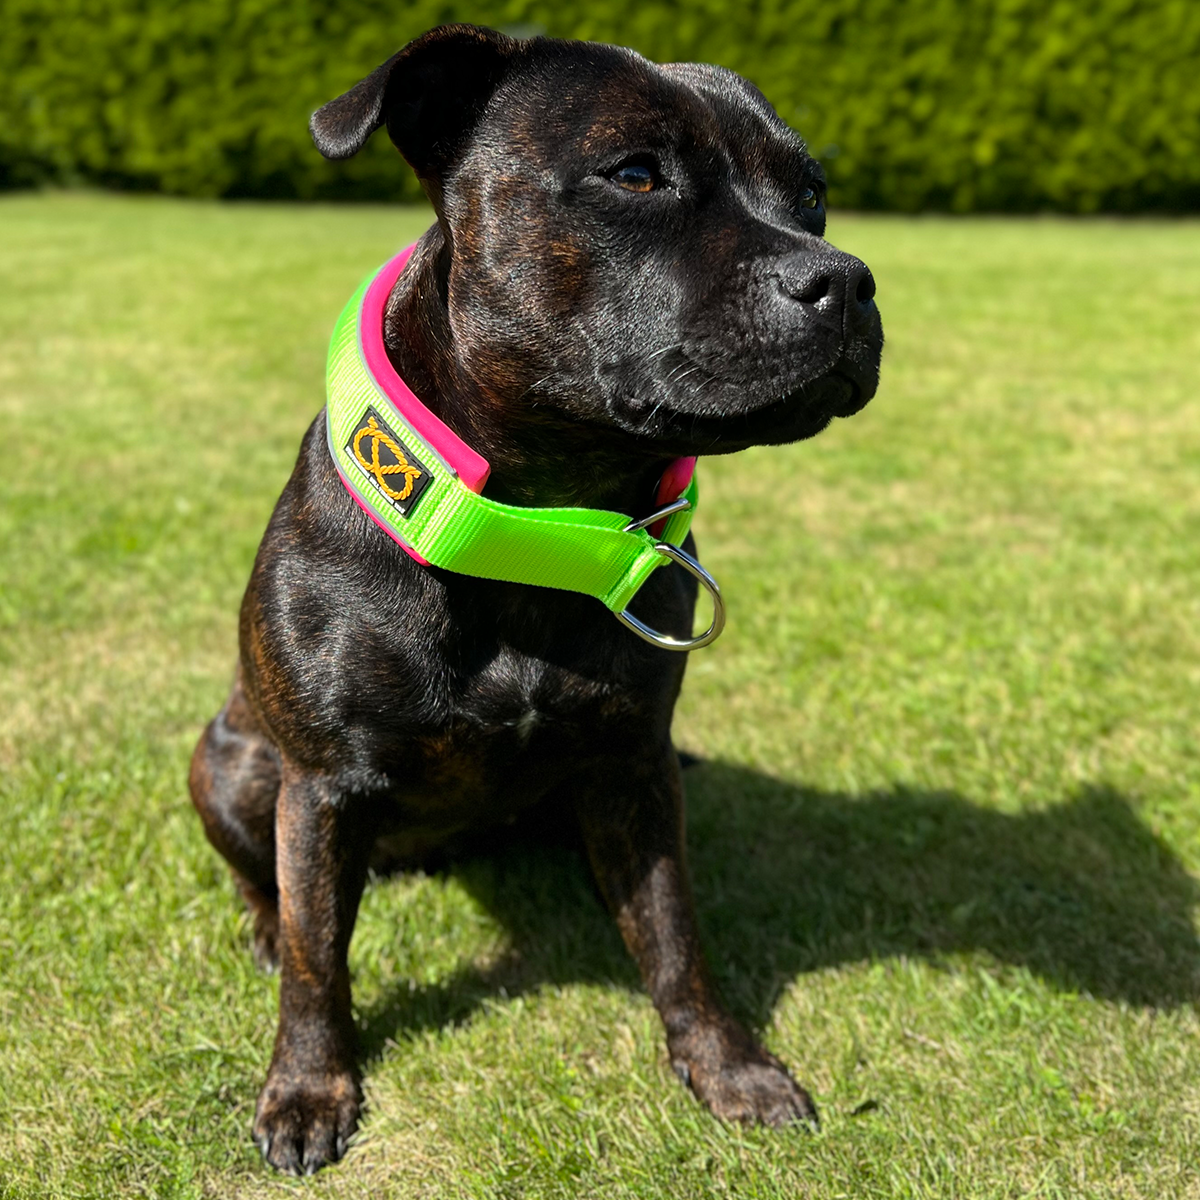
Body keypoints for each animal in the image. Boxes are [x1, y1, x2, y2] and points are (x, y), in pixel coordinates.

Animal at [187, 23, 883, 1176]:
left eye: (814, 195)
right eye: (636, 175)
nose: (848, 280)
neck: (539, 525)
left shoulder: (634, 769)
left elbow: (676, 937)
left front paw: (727, 1068)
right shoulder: (321, 786)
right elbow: (319, 962)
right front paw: (308, 1089)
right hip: (232, 760)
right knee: (267, 884)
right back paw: (260, 926)